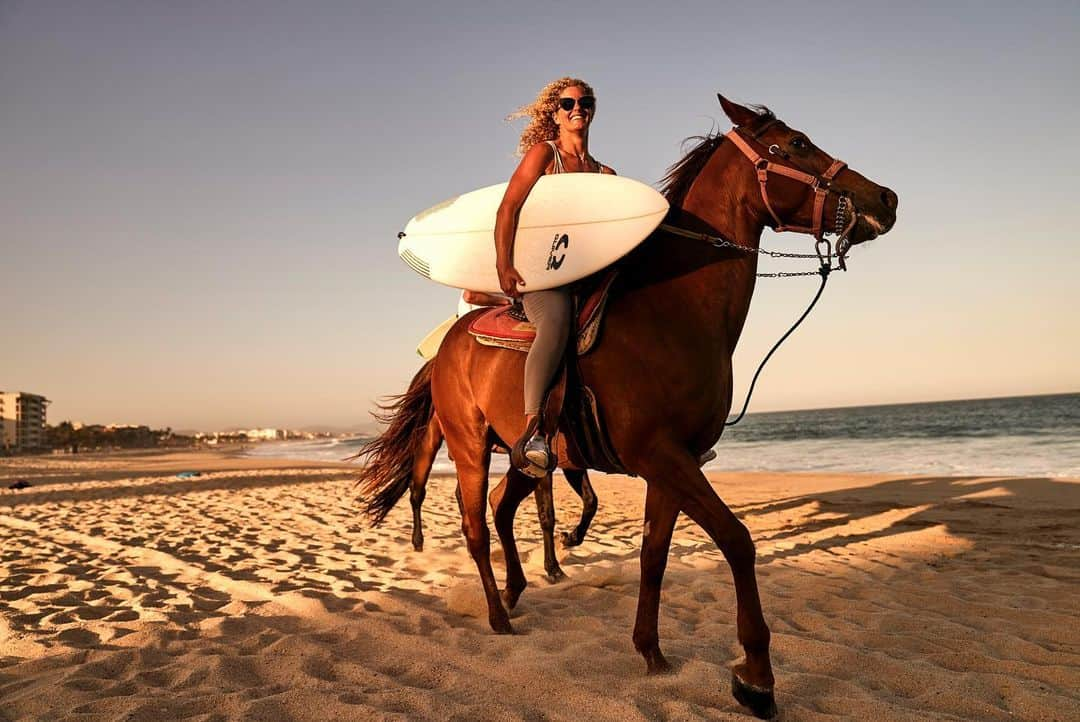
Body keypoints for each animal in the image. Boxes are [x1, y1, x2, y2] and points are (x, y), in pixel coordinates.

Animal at [358, 94, 898, 716]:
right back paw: (497, 615)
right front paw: (756, 679)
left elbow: (653, 555)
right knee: (474, 524)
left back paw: (517, 591)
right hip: (470, 446)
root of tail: (447, 344)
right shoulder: (660, 455)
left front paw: (651, 652)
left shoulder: (675, 461)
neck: (674, 310)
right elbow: (738, 541)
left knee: (500, 507)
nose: (885, 198)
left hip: (524, 453)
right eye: (796, 145)